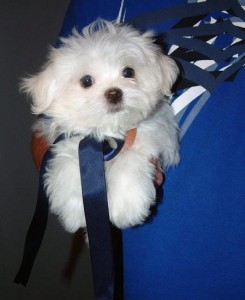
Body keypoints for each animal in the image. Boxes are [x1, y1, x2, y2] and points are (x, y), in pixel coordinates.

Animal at [21, 19, 180, 232]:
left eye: (128, 72)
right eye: (86, 81)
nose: (114, 93)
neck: (108, 134)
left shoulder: (148, 138)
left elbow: (130, 161)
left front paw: (127, 207)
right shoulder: (70, 142)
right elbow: (67, 165)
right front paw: (74, 211)